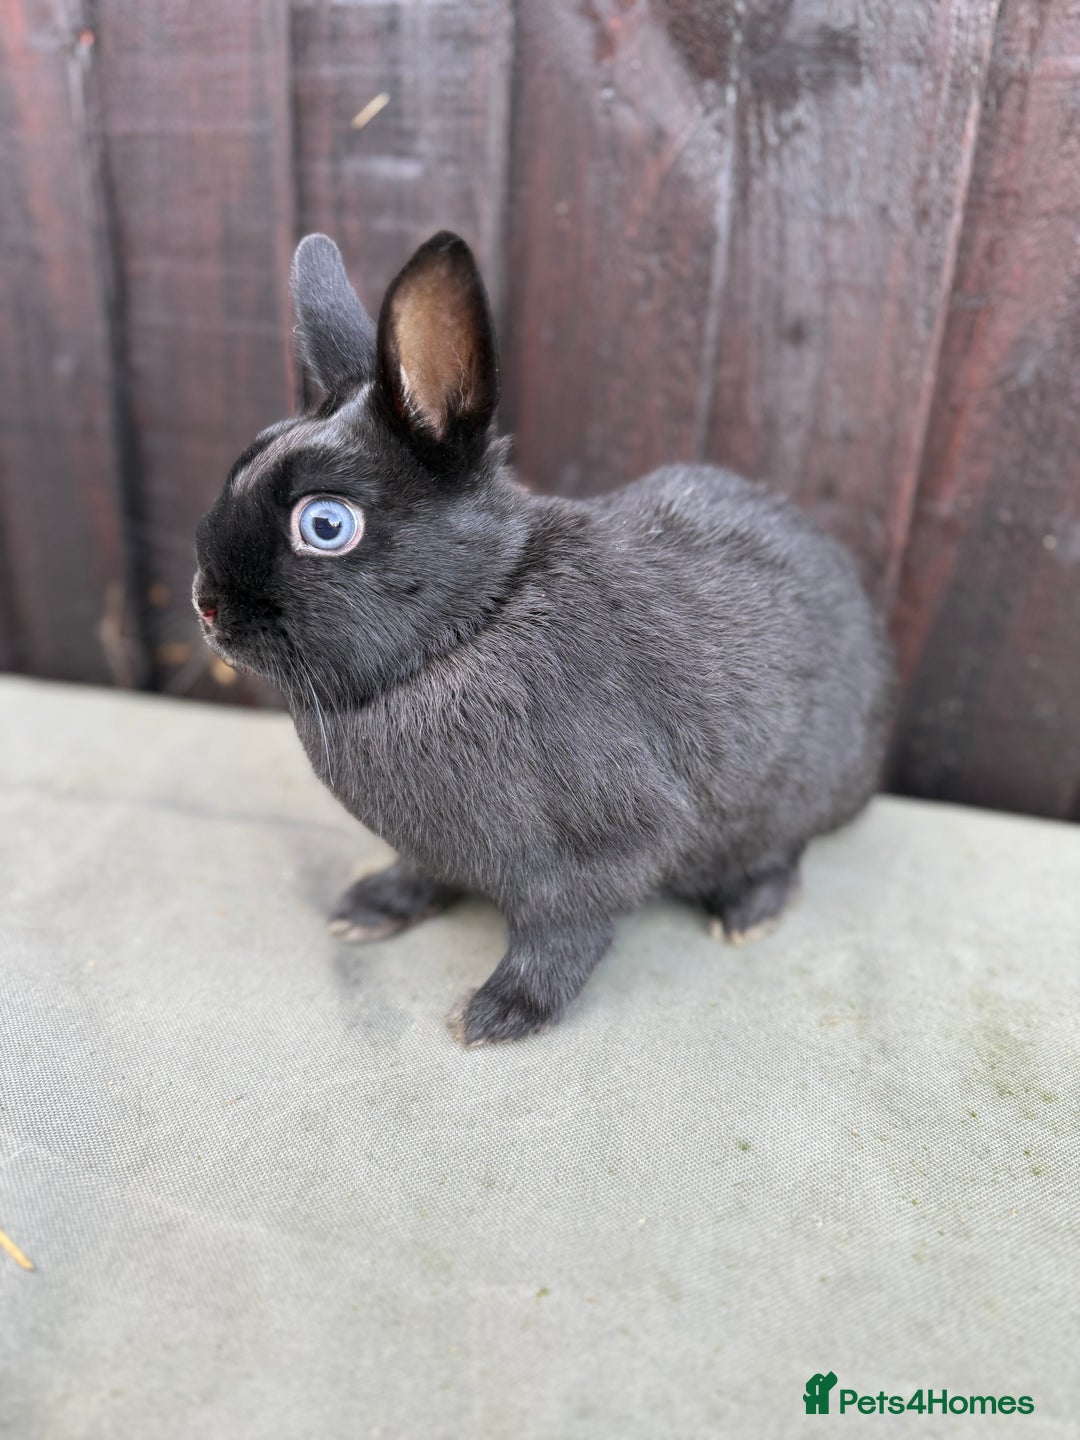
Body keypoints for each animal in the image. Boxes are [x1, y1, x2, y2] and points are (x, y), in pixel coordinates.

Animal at [193, 230, 895, 1046]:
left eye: (326, 524)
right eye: (247, 457)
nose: (206, 605)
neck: (473, 622)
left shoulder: (599, 853)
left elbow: (563, 936)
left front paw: (498, 1015)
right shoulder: (430, 846)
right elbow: (418, 875)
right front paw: (368, 911)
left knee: (783, 848)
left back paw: (749, 912)